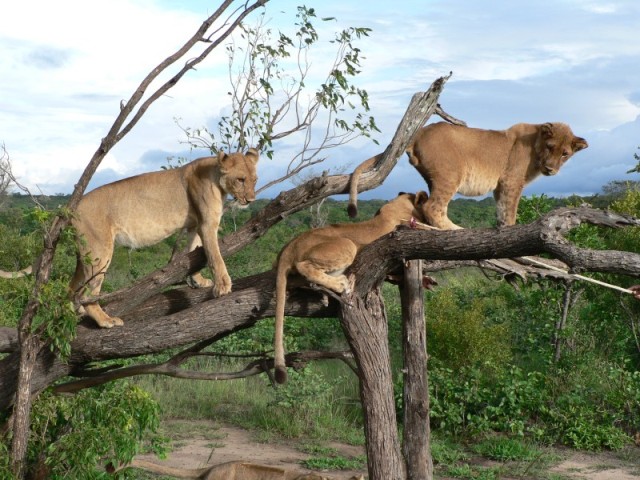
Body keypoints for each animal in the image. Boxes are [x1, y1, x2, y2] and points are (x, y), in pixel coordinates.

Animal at [71, 148, 258, 328]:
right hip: (100, 251)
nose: (251, 199)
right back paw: (106, 320)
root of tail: (72, 209)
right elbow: (215, 256)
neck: (215, 173)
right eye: (240, 179)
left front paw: (197, 280)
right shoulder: (207, 223)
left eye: (255, 180)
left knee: (72, 289)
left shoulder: (195, 225)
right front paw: (223, 286)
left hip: (84, 257)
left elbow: (193, 250)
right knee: (86, 293)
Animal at [272, 191, 428, 382]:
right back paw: (341, 284)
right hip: (347, 244)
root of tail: (289, 247)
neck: (398, 205)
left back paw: (325, 293)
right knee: (304, 267)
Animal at [348, 123, 588, 230]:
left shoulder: (501, 185)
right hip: (451, 174)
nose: (550, 169)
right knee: (432, 206)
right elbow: (511, 210)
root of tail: (420, 131)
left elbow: (502, 209)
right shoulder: (511, 180)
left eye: (565, 153)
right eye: (550, 147)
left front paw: (501, 227)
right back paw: (454, 229)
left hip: (433, 176)